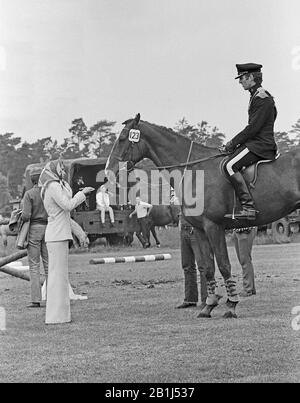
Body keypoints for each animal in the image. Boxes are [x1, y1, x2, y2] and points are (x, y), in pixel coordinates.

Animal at [105, 113, 300, 318]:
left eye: (122, 139)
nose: (108, 170)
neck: (195, 170)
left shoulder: (213, 226)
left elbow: (223, 265)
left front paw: (231, 305)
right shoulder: (200, 229)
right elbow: (208, 267)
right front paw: (209, 305)